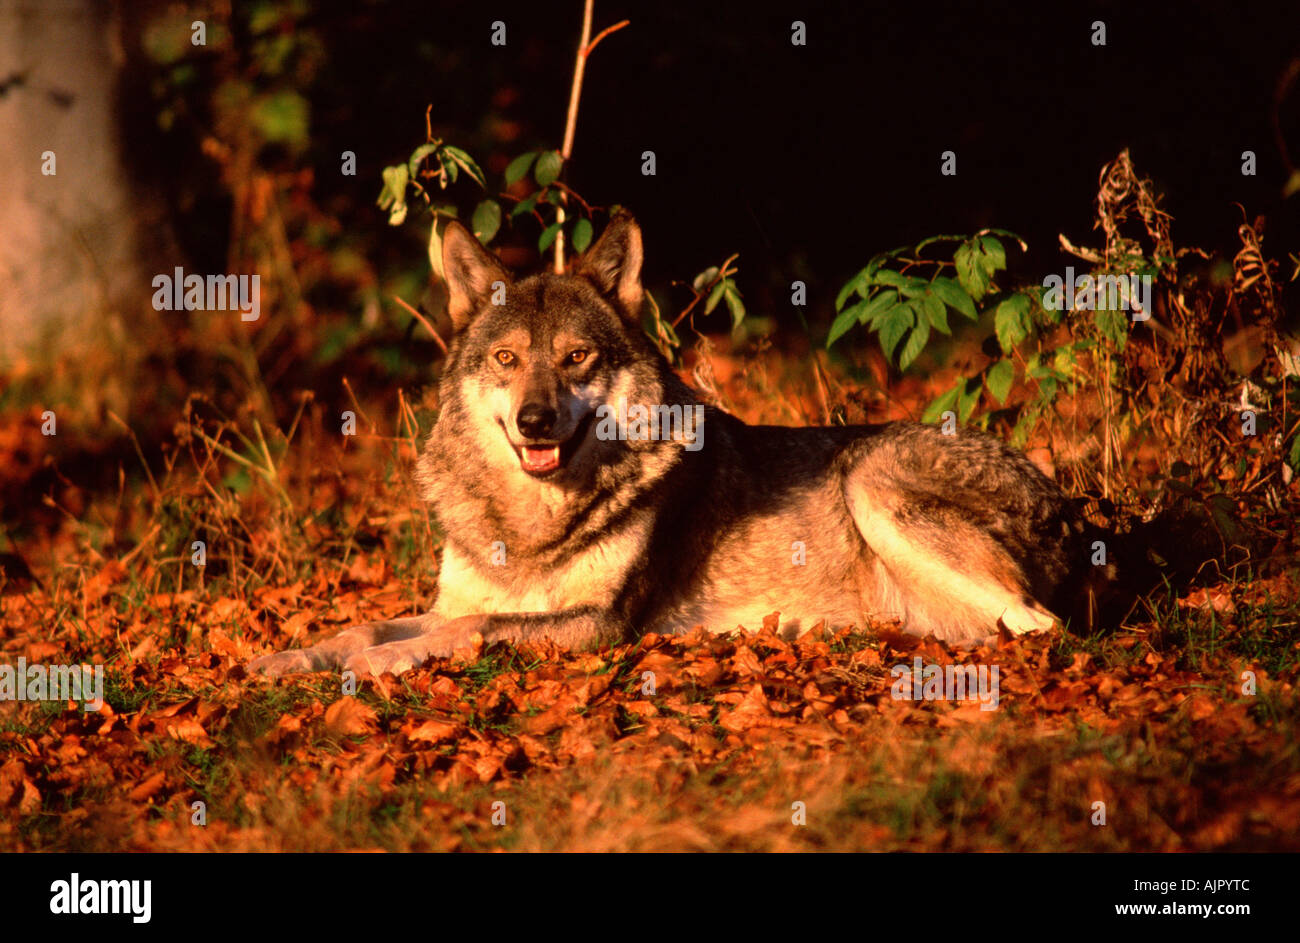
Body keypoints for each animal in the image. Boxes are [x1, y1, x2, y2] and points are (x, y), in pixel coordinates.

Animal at [249, 212, 1110, 678]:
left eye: (576, 357)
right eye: (507, 360)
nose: (534, 420)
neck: (530, 526)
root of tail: (1073, 510)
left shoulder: (599, 625)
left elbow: (470, 631)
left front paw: (368, 668)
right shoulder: (454, 600)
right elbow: (370, 625)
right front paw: (289, 659)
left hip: (870, 476)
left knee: (1039, 628)